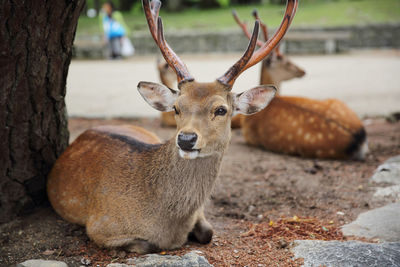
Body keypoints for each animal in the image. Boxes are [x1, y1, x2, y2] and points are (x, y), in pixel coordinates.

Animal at [46, 0, 296, 253]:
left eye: (221, 110)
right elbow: (147, 245)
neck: (169, 222)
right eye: (176, 107)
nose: (186, 139)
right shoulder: (99, 226)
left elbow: (208, 232)